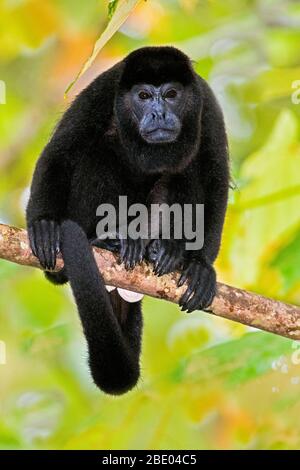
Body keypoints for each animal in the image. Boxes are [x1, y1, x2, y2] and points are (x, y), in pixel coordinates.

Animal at [26, 46, 230, 392]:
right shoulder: (102, 90)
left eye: (172, 94)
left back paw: (164, 250)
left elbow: (215, 177)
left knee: (183, 170)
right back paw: (109, 239)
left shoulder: (207, 103)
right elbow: (60, 153)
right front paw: (43, 224)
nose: (159, 114)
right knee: (98, 151)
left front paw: (201, 266)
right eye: (144, 96)